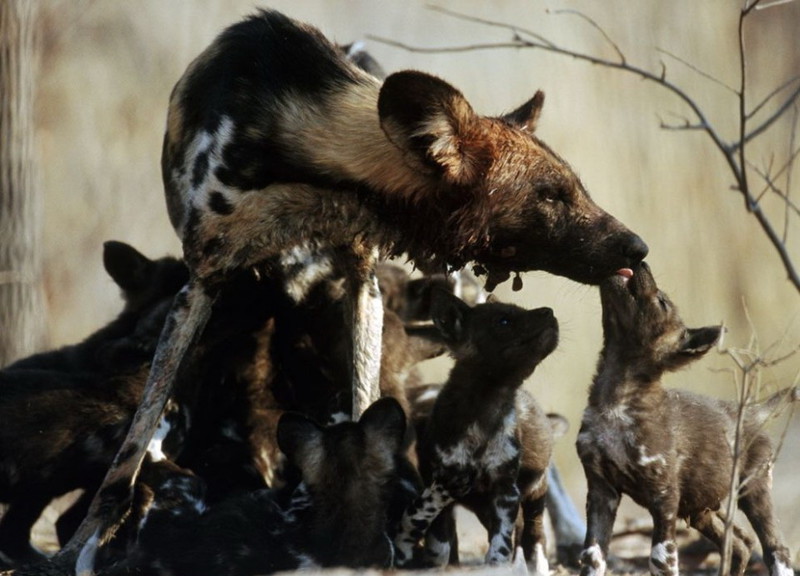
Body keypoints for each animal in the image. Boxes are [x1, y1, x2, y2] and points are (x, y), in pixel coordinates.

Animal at [392, 290, 556, 568]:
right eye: (503, 321)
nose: (549, 311)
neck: (485, 413)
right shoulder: (441, 485)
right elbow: (439, 545)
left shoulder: (505, 491)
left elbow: (501, 547)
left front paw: (497, 566)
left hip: (534, 495)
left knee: (533, 538)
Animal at [580, 264, 796, 576]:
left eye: (661, 302)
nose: (643, 264)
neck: (616, 399)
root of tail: (754, 411)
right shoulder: (601, 491)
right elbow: (593, 557)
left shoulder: (664, 495)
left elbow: (661, 559)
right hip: (700, 509)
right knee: (739, 545)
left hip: (752, 491)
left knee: (776, 550)